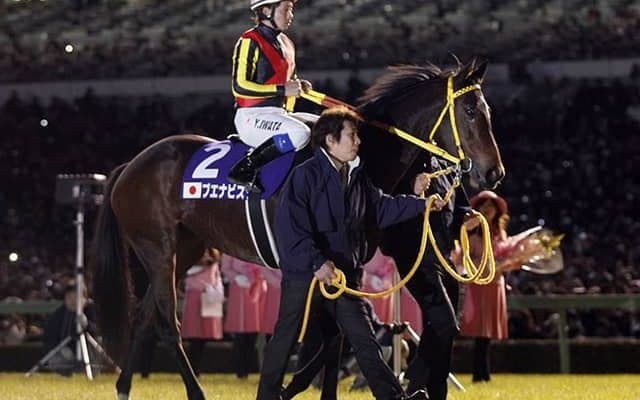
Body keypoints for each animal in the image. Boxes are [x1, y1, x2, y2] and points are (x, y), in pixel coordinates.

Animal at [91, 57, 504, 400]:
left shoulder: (349, 263)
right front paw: (290, 385)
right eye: (470, 111)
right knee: (167, 322)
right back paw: (194, 391)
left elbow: (340, 335)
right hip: (157, 249)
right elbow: (329, 336)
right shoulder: (316, 262)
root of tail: (130, 165)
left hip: (185, 247)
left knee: (145, 316)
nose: (494, 172)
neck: (358, 158)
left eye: (488, 110)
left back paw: (124, 386)